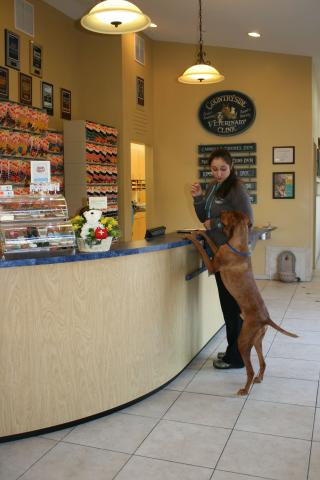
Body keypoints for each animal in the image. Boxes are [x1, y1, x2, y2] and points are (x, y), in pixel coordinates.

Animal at [184, 212, 298, 396]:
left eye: (227, 214)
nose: (219, 213)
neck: (239, 245)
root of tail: (266, 318)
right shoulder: (218, 251)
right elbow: (209, 242)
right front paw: (201, 232)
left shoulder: (212, 267)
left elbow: (201, 249)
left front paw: (191, 236)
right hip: (257, 340)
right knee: (263, 362)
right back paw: (259, 379)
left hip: (243, 341)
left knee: (250, 369)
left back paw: (245, 389)